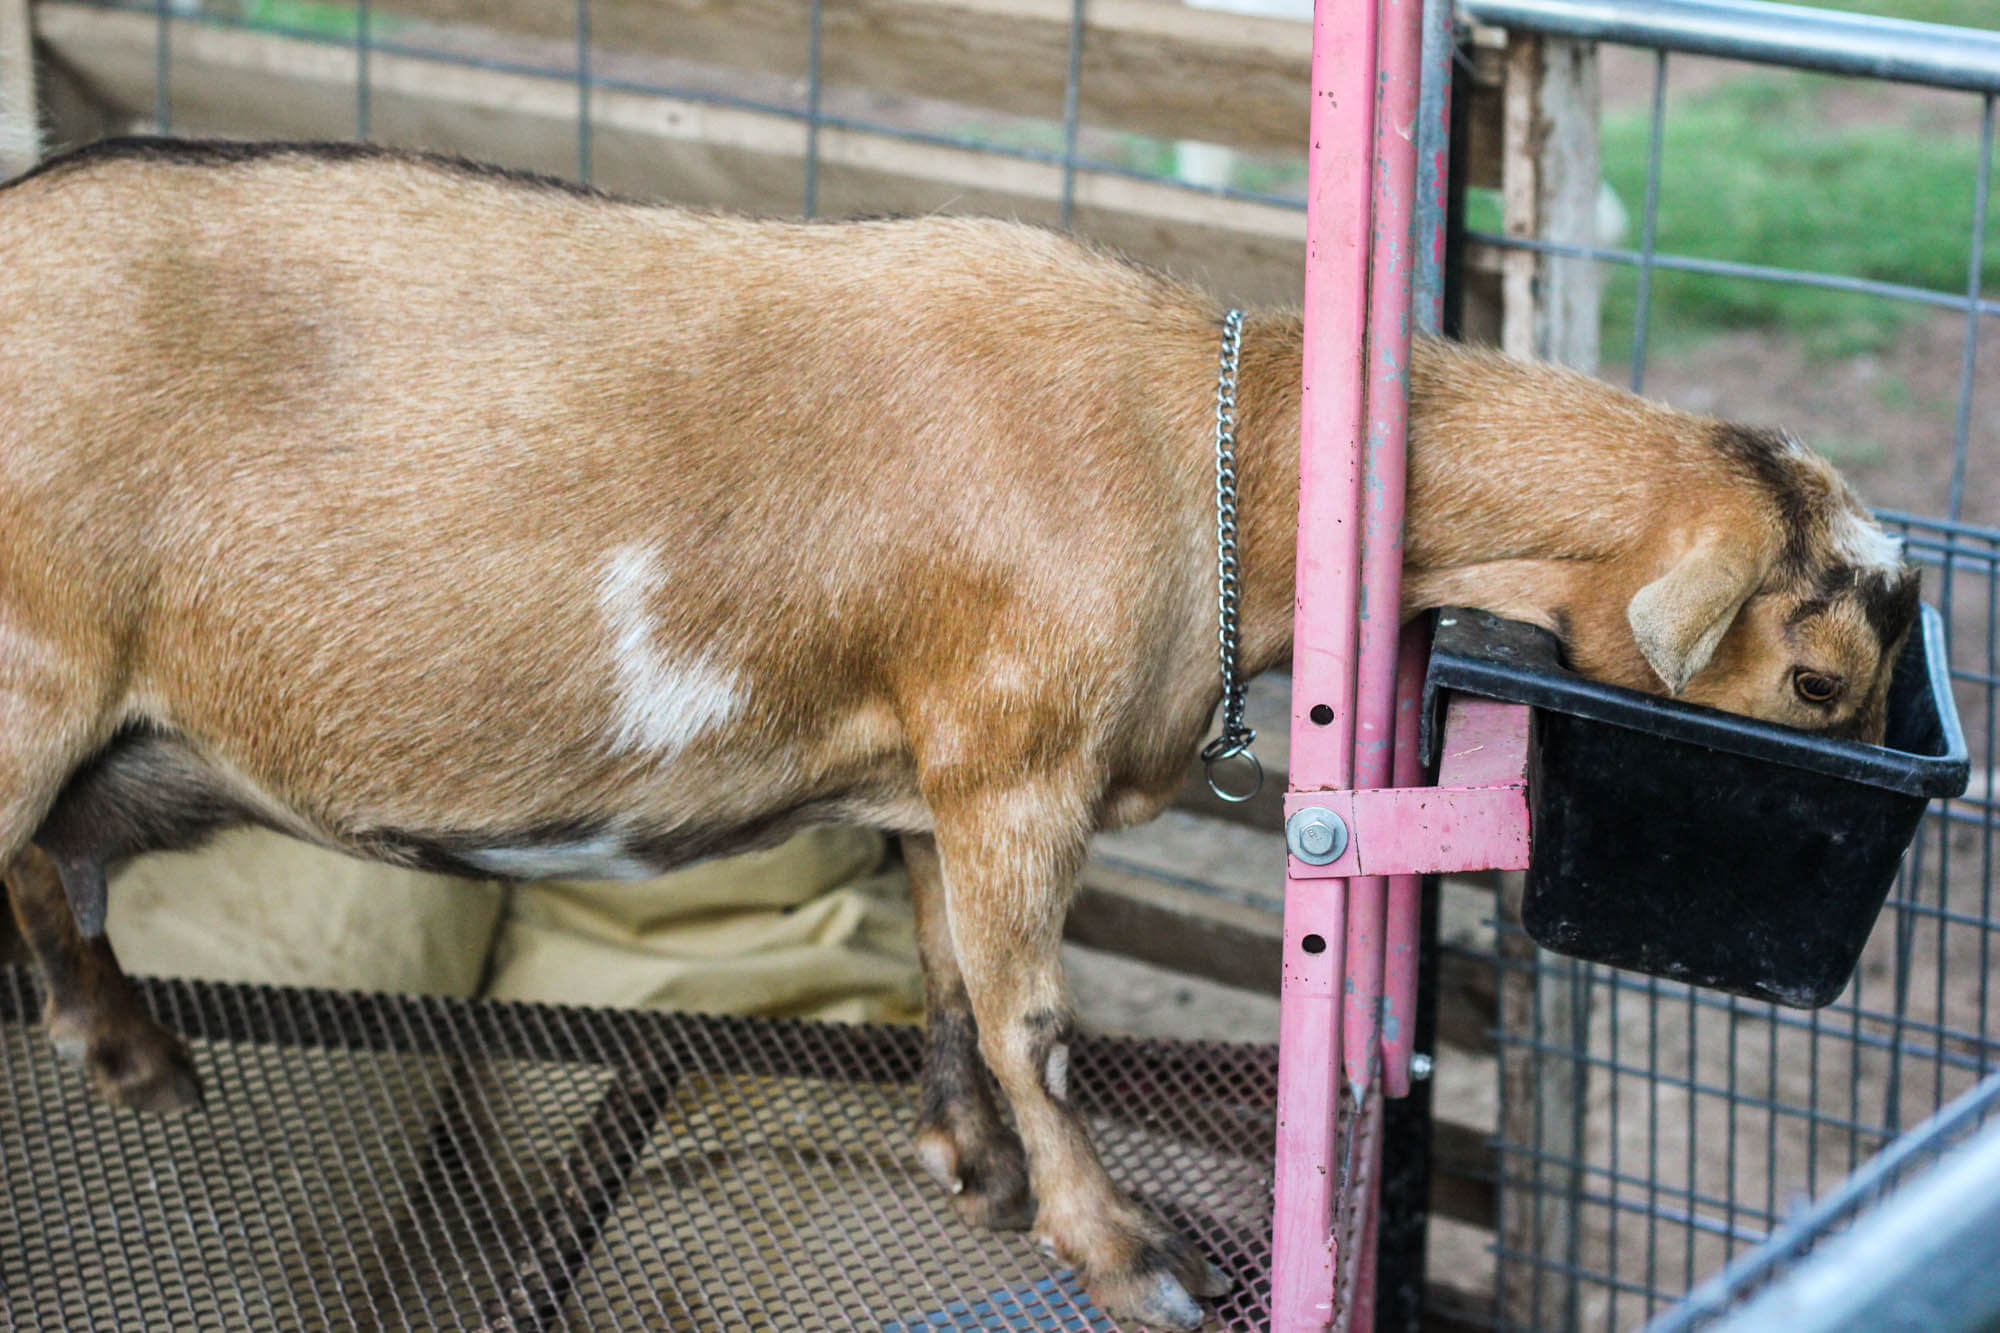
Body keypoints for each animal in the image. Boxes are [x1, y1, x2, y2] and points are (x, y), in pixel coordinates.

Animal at [0, 140, 1920, 1320]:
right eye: (1821, 683)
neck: (1232, 454)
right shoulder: (1015, 761)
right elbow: (1038, 1022)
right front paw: (1121, 1252)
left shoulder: (937, 770)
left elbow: (942, 978)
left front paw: (971, 1169)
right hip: (32, 670)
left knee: (49, 878)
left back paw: (130, 1051)